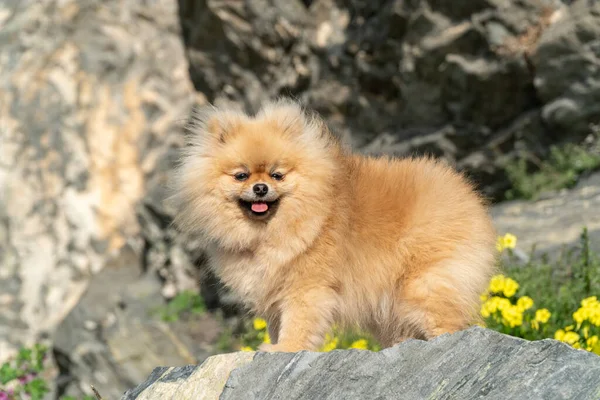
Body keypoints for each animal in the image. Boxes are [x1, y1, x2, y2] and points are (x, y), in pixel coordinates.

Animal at [173, 100, 496, 354]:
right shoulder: (275, 288)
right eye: (241, 175)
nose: (261, 188)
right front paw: (275, 345)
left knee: (450, 322)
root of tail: (467, 195)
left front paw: (285, 349)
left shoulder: (306, 287)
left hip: (423, 284)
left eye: (277, 175)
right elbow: (278, 324)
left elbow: (298, 324)